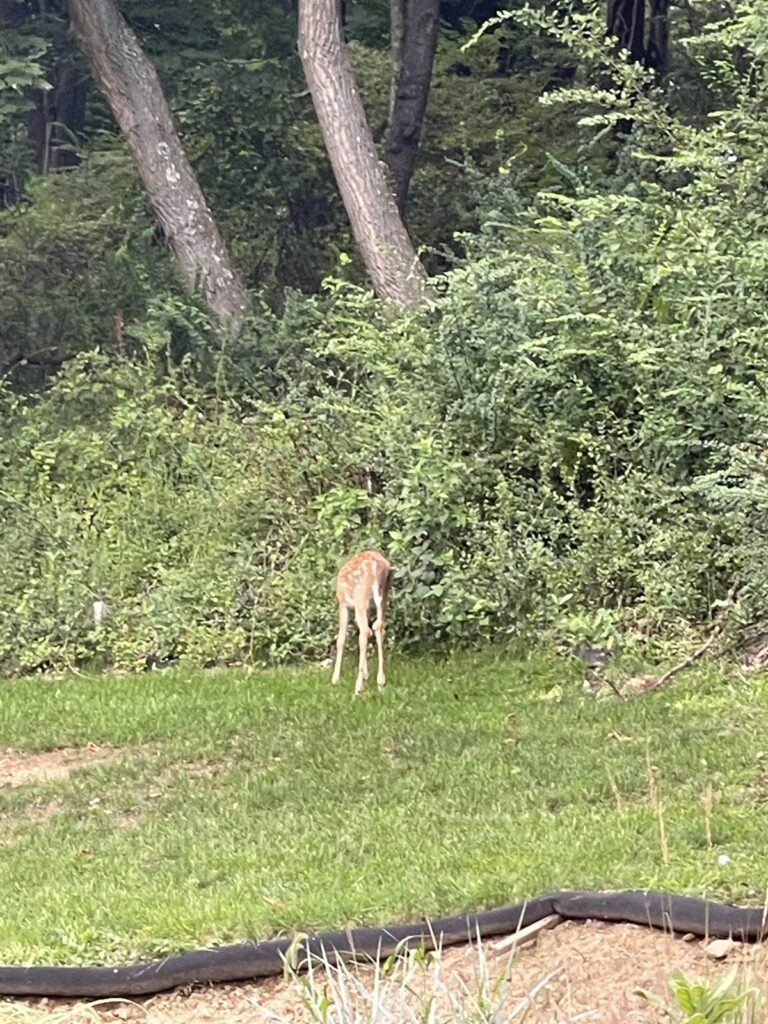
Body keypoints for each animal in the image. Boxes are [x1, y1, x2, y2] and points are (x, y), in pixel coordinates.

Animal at [331, 550, 391, 695]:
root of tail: (376, 567)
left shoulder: (343, 605)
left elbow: (341, 639)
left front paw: (335, 679)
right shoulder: (368, 608)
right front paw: (366, 674)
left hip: (361, 597)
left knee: (365, 632)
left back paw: (358, 687)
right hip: (384, 597)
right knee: (379, 628)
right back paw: (381, 683)